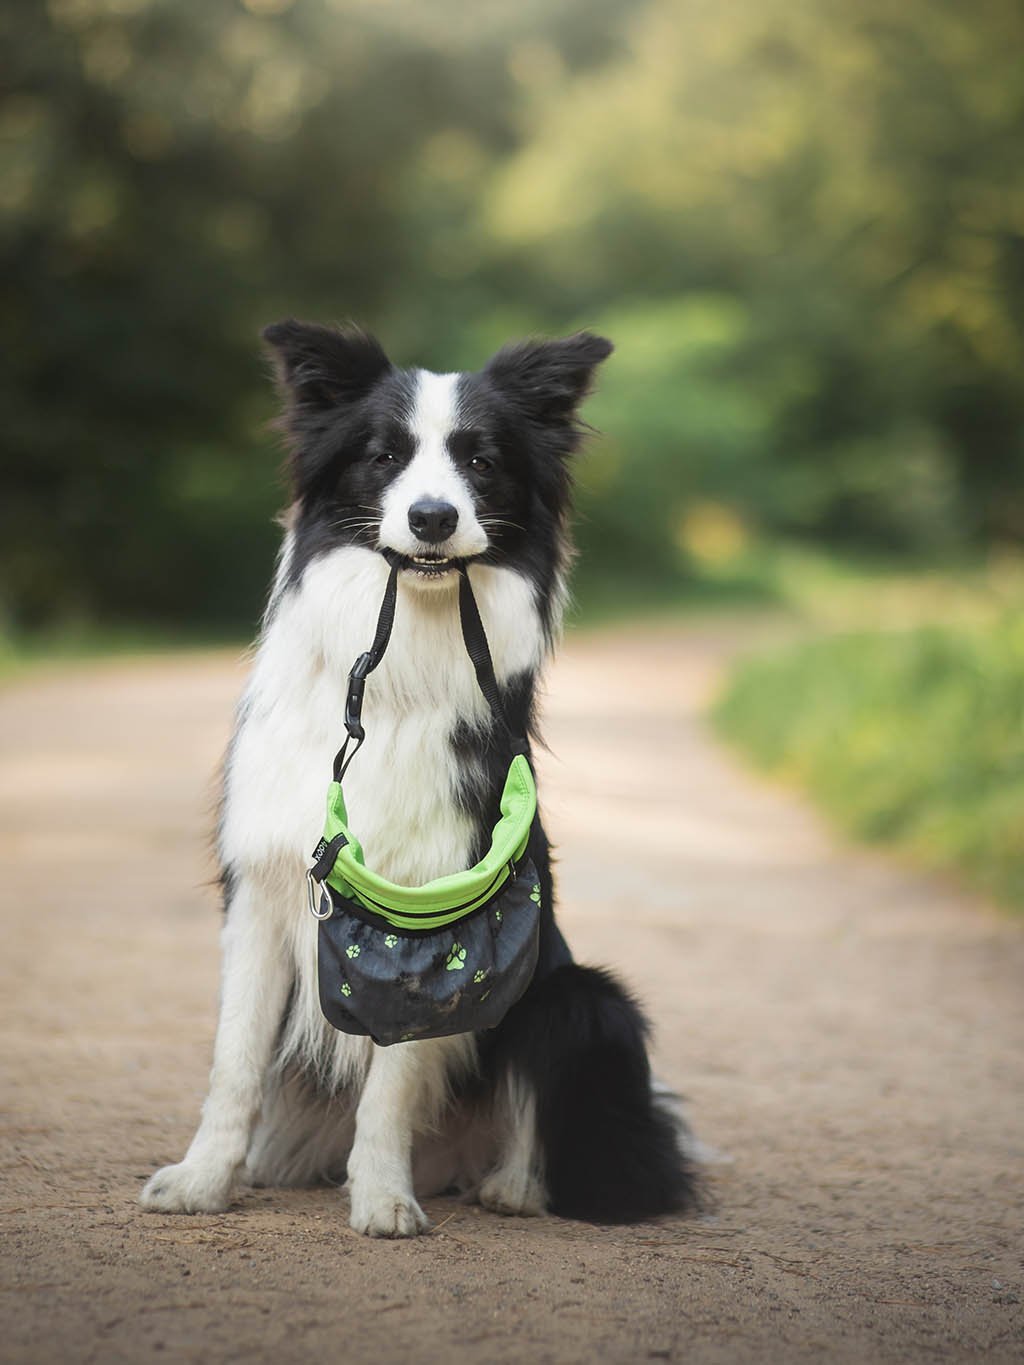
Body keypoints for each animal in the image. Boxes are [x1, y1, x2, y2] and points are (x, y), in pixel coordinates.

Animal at [142, 322, 699, 1239]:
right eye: (385, 455)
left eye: (480, 460)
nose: (432, 516)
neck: (402, 658)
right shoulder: (263, 887)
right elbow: (234, 1060)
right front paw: (202, 1181)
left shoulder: (439, 919)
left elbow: (392, 1086)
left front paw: (381, 1198)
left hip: (586, 999)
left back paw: (510, 1186)